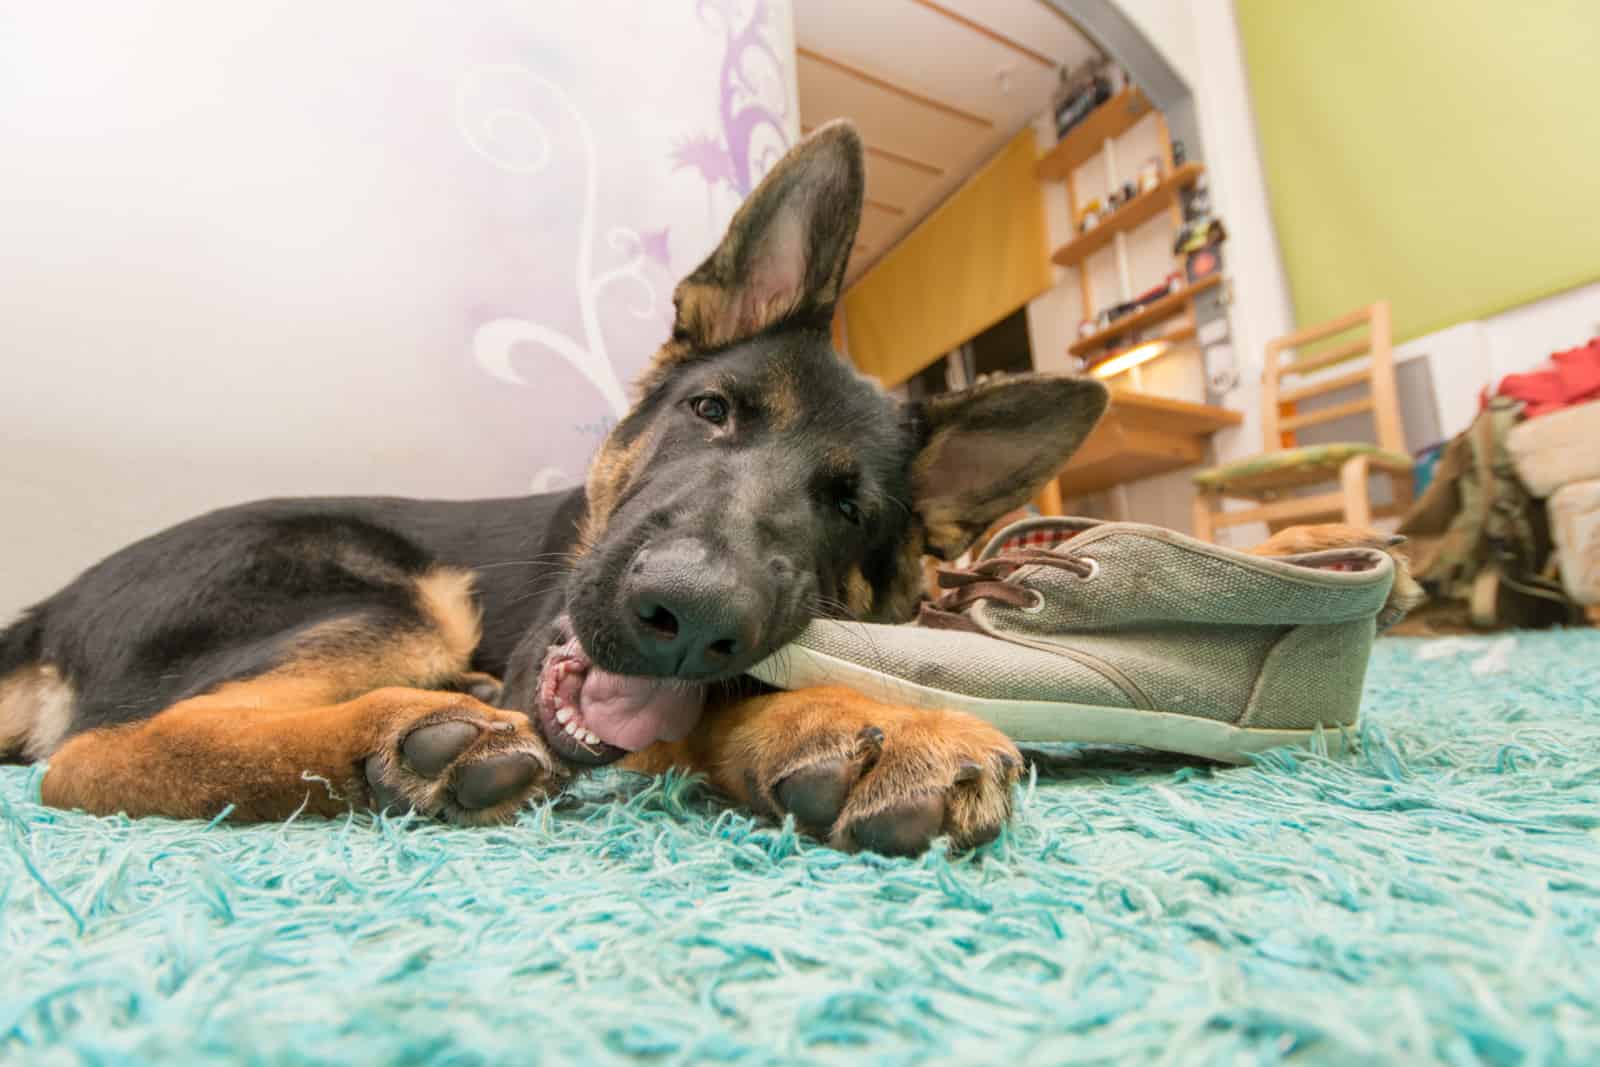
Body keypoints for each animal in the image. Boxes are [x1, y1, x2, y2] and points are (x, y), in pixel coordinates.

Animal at [0, 125, 1401, 857]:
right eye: (714, 412)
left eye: (850, 508)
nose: (689, 617)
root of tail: (49, 602)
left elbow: (721, 706)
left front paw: (831, 721)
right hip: (391, 592)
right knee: (91, 757)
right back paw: (400, 736)